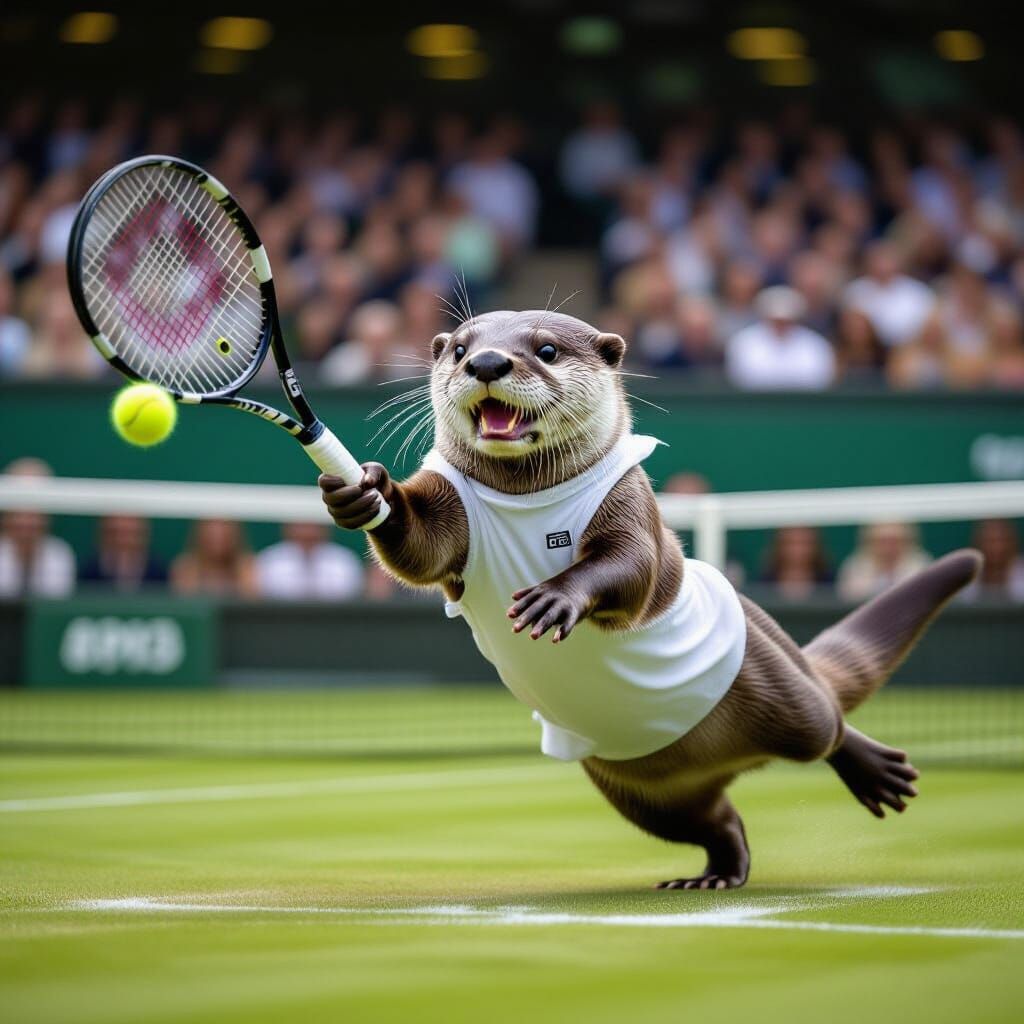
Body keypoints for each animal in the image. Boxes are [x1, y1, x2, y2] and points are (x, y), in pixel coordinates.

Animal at [319, 310, 981, 890]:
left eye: (546, 349)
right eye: (459, 349)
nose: (485, 362)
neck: (529, 499)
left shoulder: (632, 505)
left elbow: (628, 567)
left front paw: (556, 598)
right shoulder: (447, 504)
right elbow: (419, 550)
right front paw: (365, 490)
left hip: (779, 689)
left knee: (828, 724)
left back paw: (874, 768)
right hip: (643, 797)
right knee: (718, 820)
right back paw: (715, 874)